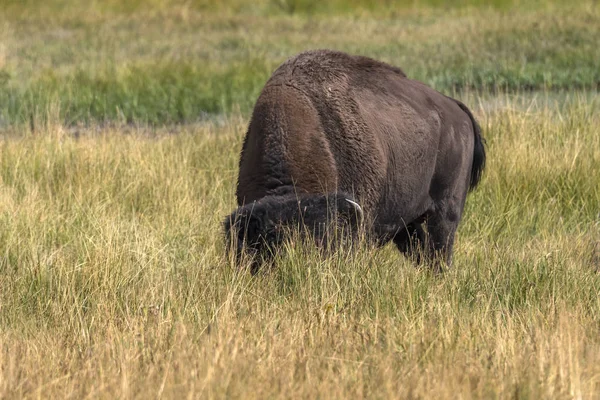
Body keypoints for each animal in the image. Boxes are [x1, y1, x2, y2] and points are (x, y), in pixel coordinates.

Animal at [223, 49, 486, 272]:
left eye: (322, 245)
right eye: (261, 248)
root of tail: (456, 109)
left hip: (445, 212)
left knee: (441, 249)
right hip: (406, 222)